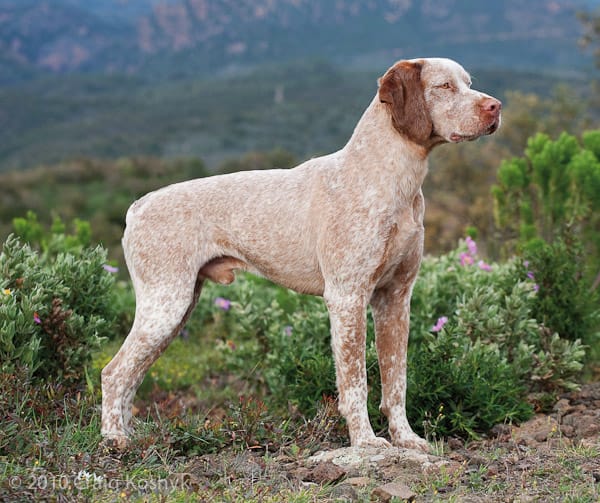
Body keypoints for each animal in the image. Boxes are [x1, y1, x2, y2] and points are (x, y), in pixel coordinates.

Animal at [102, 58, 502, 452]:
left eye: (468, 83)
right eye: (444, 86)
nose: (496, 107)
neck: (389, 178)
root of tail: (136, 207)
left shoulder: (396, 299)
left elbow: (396, 380)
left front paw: (406, 438)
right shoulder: (347, 297)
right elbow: (356, 383)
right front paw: (365, 442)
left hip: (176, 310)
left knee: (131, 375)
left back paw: (132, 438)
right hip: (165, 306)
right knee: (113, 373)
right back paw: (114, 440)